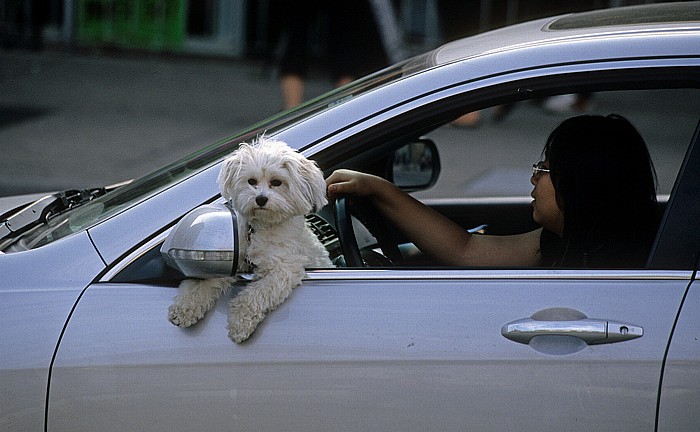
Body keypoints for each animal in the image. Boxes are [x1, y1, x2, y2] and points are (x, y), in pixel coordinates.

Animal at [170, 137, 334, 342]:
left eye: (276, 182)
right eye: (251, 181)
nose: (260, 199)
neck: (261, 228)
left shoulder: (284, 268)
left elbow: (256, 294)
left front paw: (239, 323)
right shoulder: (232, 260)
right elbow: (205, 280)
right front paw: (186, 305)